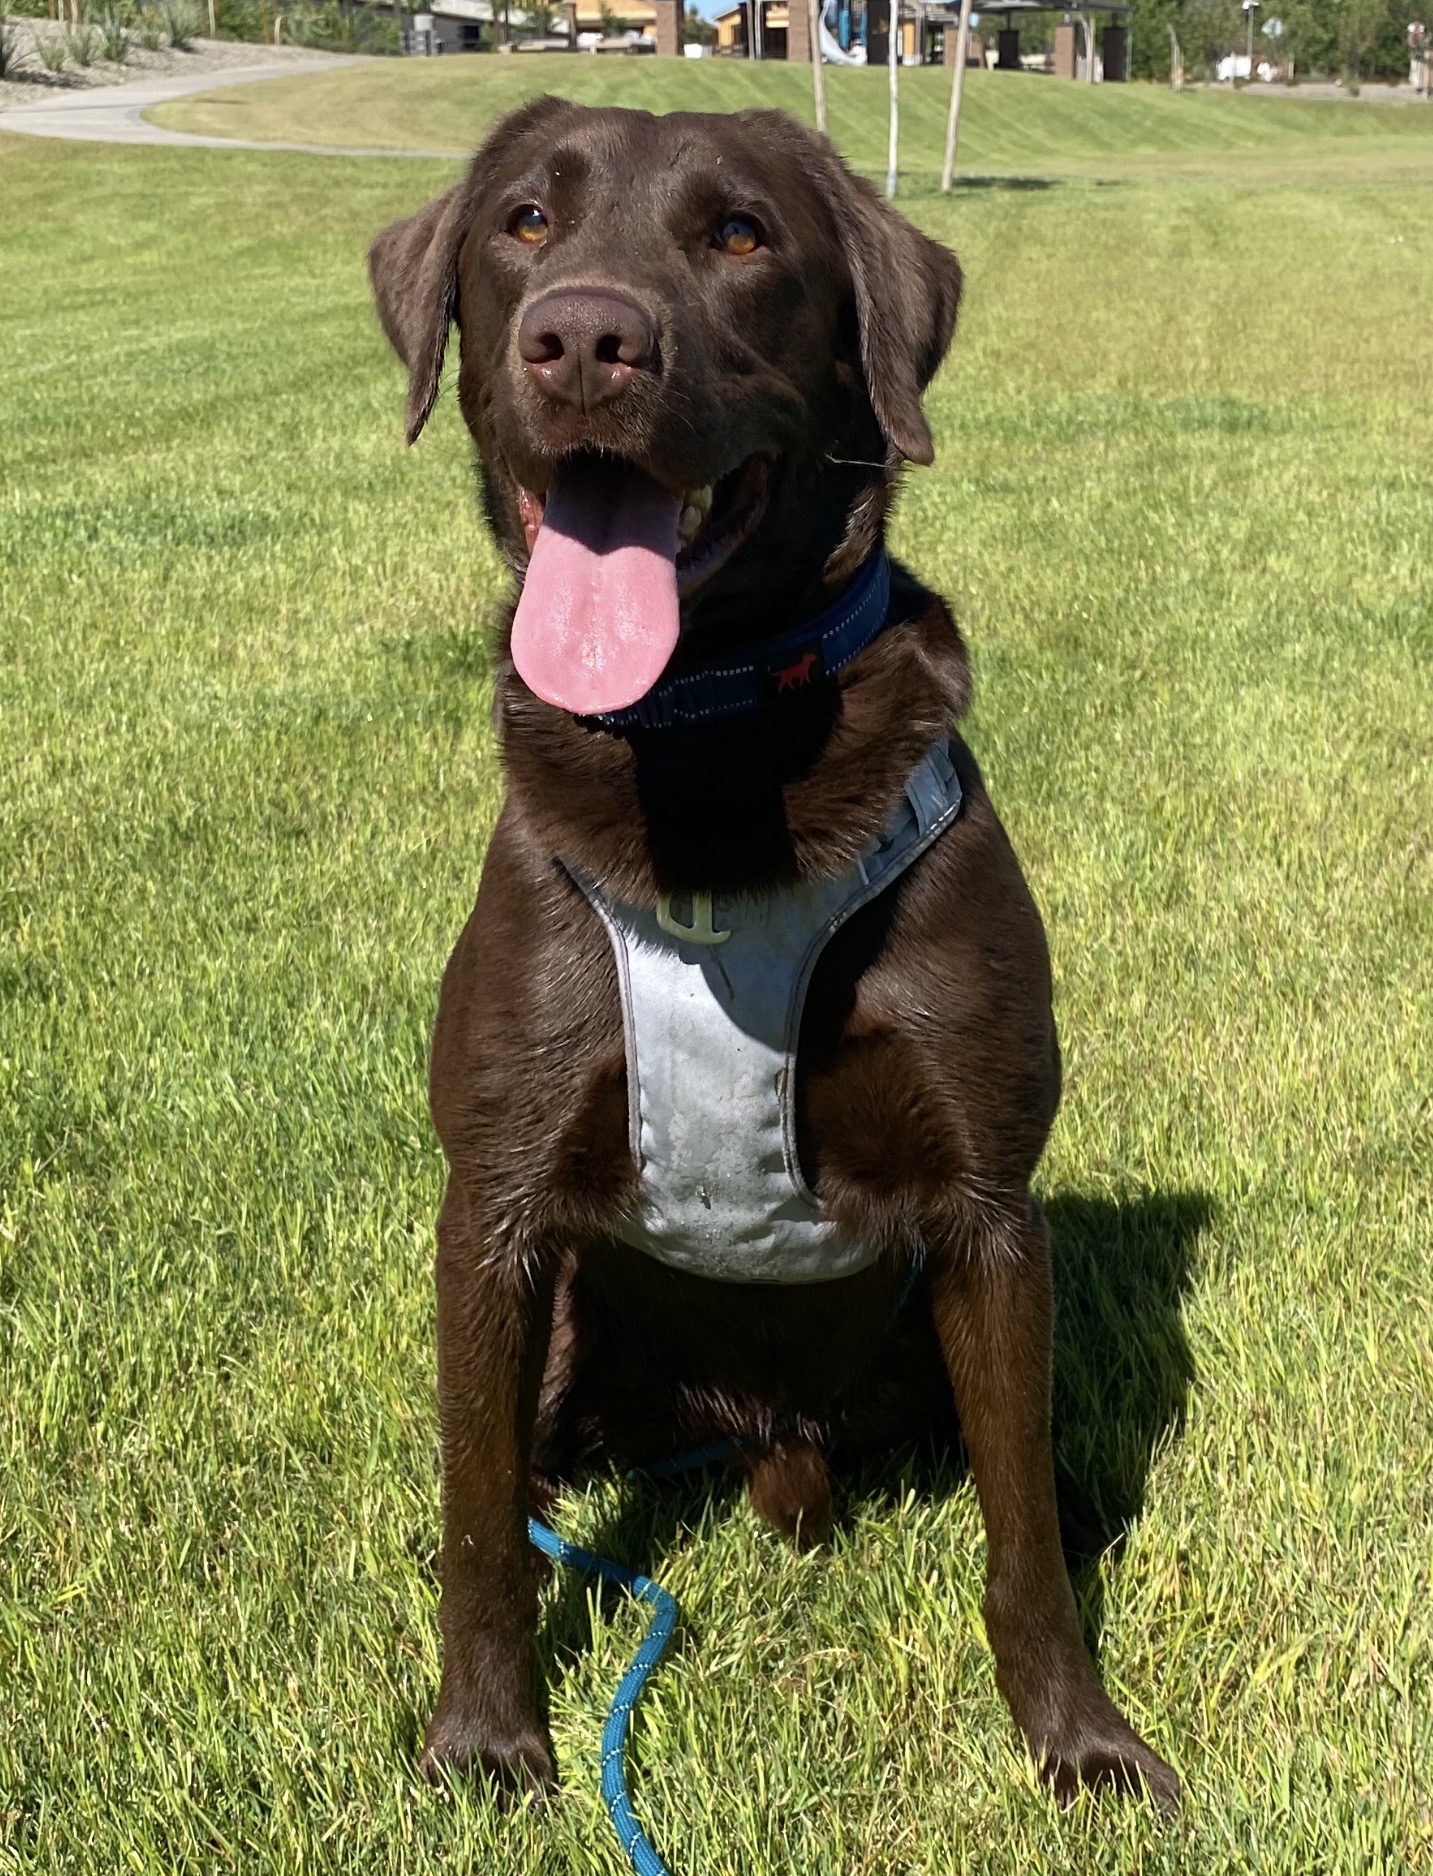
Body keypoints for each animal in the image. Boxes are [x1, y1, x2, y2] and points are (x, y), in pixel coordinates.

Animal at [369, 91, 1177, 1815]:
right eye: (523, 222)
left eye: (741, 236)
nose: (583, 338)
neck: (713, 740)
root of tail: (751, 1433)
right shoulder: (494, 1214)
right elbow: (481, 1527)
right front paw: (483, 1741)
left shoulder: (991, 1220)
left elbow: (1021, 1544)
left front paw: (1075, 1740)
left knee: (1019, 1469)